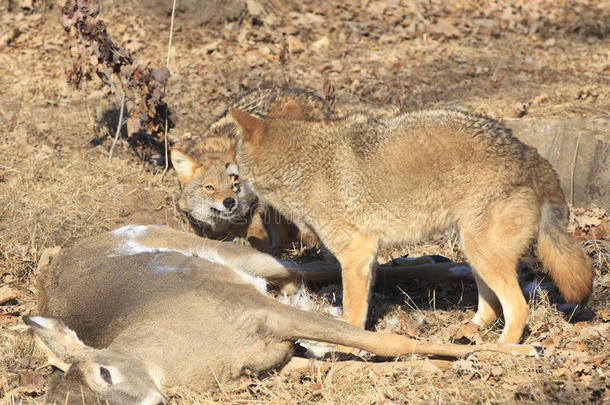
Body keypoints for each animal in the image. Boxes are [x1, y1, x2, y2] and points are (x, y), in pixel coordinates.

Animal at [22, 226, 536, 402]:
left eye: (104, 373)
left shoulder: (261, 312)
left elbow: (383, 340)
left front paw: (513, 353)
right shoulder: (279, 357)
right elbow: (362, 363)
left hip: (237, 256)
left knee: (318, 264)